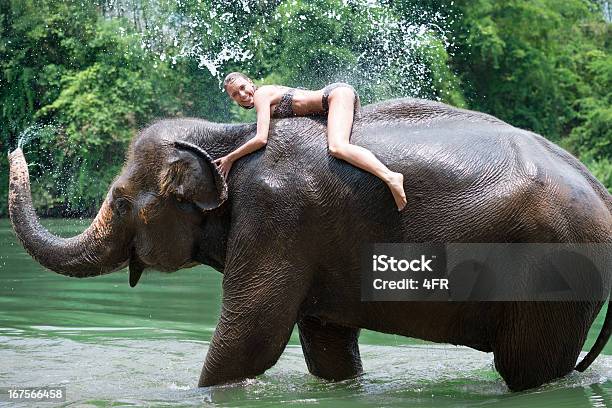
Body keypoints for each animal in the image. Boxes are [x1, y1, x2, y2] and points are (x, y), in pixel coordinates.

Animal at [8, 97, 612, 390]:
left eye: (117, 202)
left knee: (527, 370)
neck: (222, 134)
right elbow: (327, 348)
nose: (15, 146)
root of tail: (602, 192)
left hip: (552, 271)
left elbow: (250, 340)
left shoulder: (278, 218)